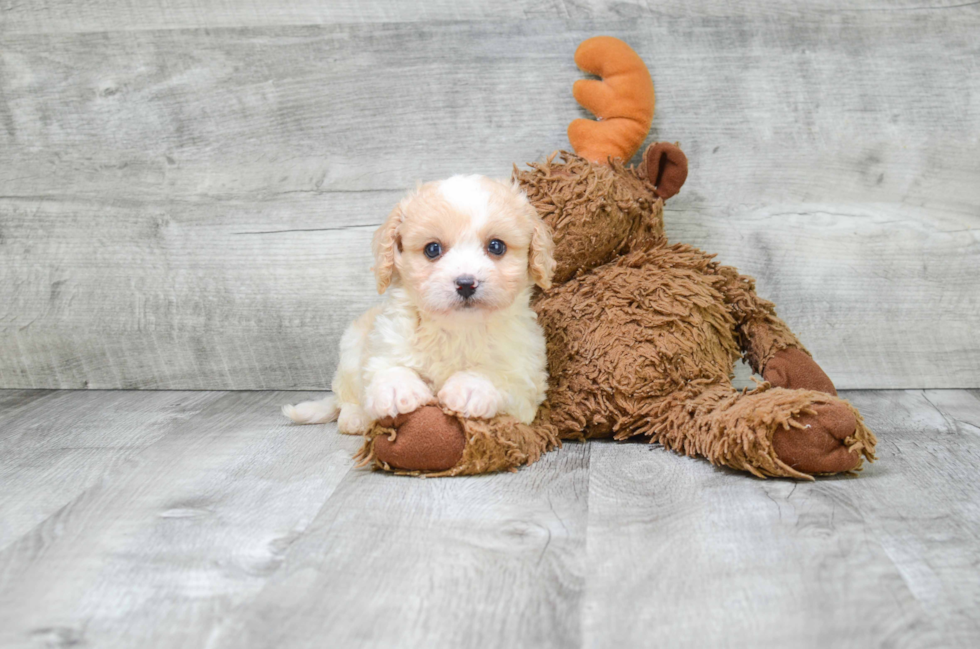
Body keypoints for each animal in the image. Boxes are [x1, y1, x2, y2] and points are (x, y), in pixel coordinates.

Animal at [288, 175, 556, 432]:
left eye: (496, 246)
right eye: (432, 249)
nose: (466, 283)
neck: (457, 329)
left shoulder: (527, 379)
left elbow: (501, 375)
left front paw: (471, 387)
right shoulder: (384, 343)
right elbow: (387, 366)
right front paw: (397, 388)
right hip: (350, 351)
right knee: (346, 397)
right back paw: (355, 418)